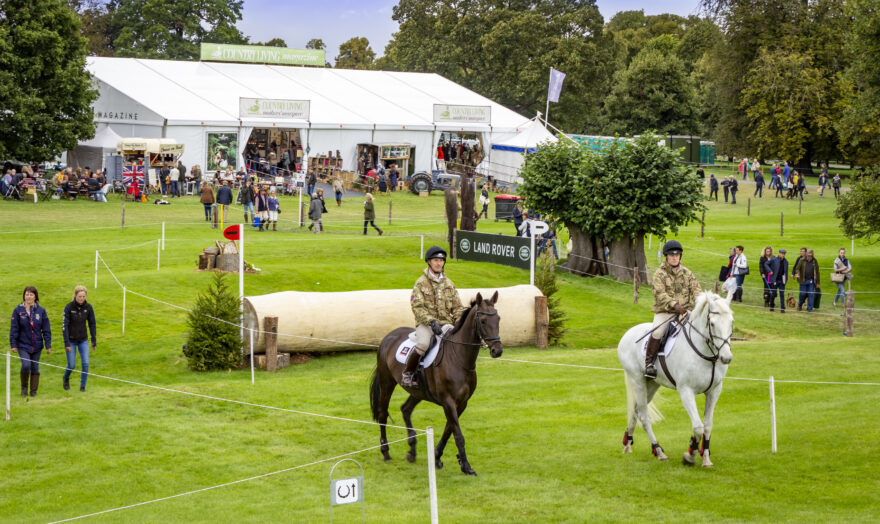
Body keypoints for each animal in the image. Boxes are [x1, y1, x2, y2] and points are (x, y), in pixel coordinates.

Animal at [370, 290, 502, 474]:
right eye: (483, 321)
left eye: (498, 319)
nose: (497, 350)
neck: (458, 358)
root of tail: (388, 337)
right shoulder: (448, 401)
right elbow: (458, 434)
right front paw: (467, 466)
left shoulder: (461, 403)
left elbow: (449, 430)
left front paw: (438, 457)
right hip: (387, 382)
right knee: (383, 414)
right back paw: (386, 452)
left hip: (417, 391)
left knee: (406, 409)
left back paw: (412, 450)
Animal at [620, 290, 736, 466]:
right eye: (712, 323)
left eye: (731, 322)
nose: (726, 357)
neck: (705, 354)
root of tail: (628, 333)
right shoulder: (686, 391)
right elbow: (698, 426)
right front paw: (690, 455)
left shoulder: (714, 391)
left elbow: (707, 426)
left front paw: (705, 458)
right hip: (637, 380)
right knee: (644, 417)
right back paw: (659, 451)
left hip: (652, 384)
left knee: (636, 411)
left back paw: (628, 443)